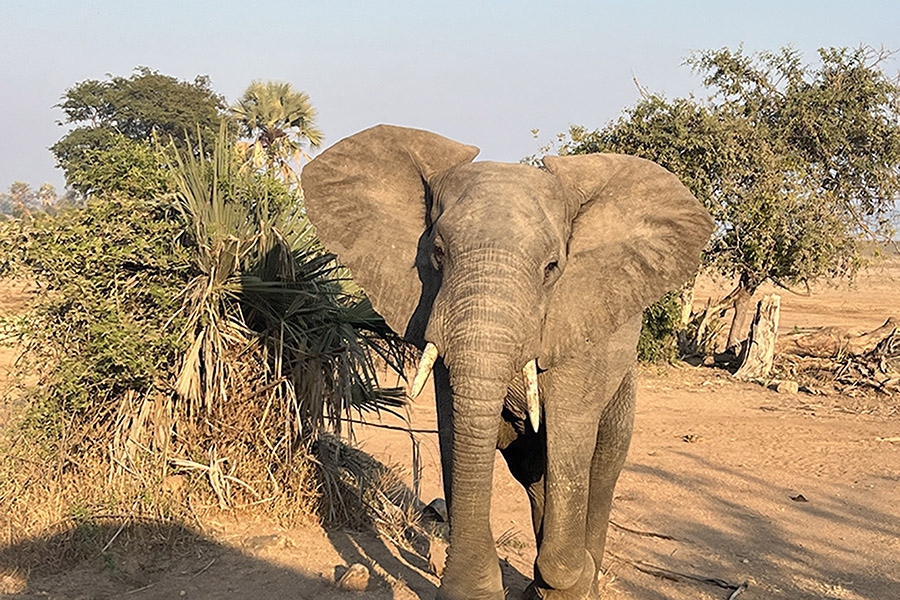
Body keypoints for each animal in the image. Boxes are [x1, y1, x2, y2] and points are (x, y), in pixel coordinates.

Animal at [302, 124, 716, 596]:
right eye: (438, 253)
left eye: (552, 267)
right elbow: (454, 429)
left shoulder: (580, 328)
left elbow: (570, 436)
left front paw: (570, 578)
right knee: (532, 472)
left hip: (623, 379)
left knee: (602, 464)